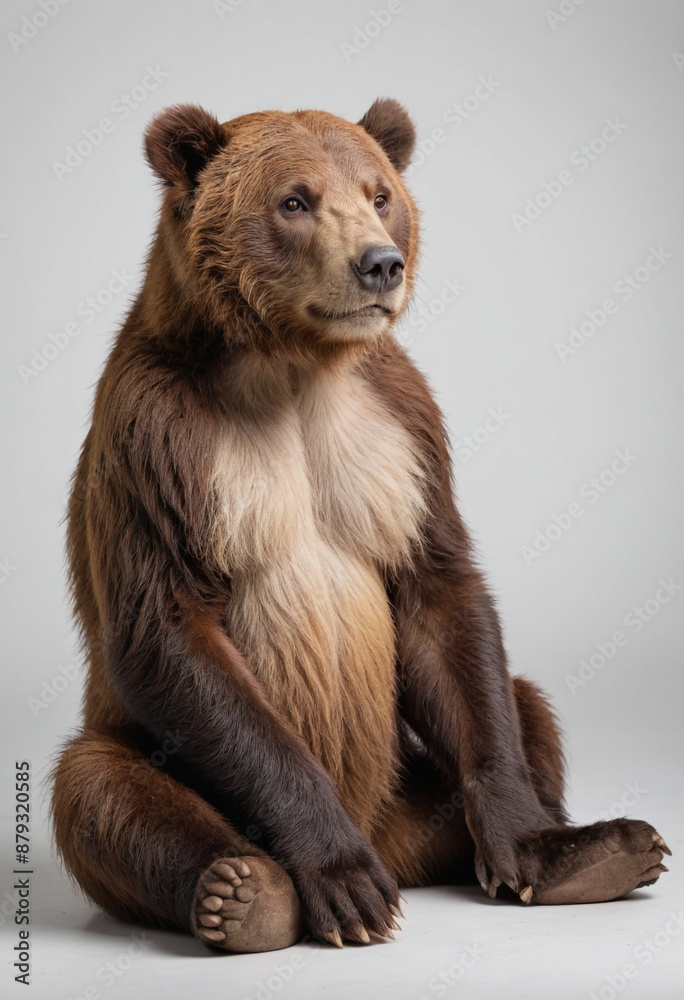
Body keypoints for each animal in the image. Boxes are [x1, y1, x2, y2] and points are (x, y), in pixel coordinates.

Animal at [51, 98, 670, 954]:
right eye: (295, 200)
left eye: (379, 194)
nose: (379, 263)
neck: (295, 365)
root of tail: (394, 840)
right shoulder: (162, 439)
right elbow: (168, 623)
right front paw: (343, 883)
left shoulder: (400, 430)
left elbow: (441, 598)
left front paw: (531, 846)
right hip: (144, 739)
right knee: (96, 783)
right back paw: (242, 891)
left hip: (413, 783)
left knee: (526, 704)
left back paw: (599, 849)